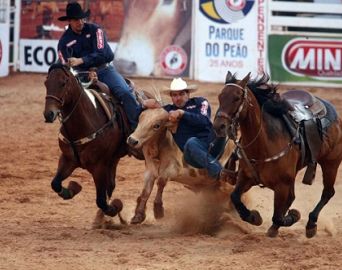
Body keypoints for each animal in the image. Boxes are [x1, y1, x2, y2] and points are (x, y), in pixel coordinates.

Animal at [43, 63, 126, 219]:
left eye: (63, 83)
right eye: (46, 83)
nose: (48, 114)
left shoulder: (99, 166)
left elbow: (101, 200)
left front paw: (114, 208)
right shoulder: (68, 159)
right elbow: (55, 183)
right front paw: (72, 189)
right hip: (113, 159)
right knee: (111, 185)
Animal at [214, 72, 342, 238]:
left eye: (236, 98)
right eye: (220, 97)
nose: (219, 126)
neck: (263, 145)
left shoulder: (282, 186)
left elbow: (278, 216)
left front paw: (293, 216)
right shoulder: (245, 177)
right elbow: (235, 197)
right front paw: (253, 217)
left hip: (331, 163)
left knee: (327, 192)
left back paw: (311, 224)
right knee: (295, 197)